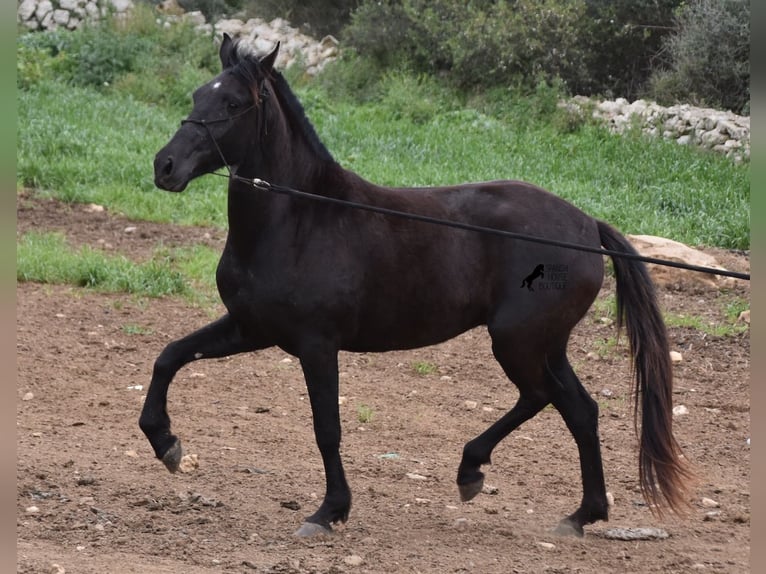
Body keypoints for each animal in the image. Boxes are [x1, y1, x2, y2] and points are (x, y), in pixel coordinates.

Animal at [141, 36, 692, 540]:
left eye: (234, 104)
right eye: (198, 96)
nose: (164, 166)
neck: (299, 219)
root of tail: (586, 226)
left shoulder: (317, 345)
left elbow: (327, 429)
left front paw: (329, 512)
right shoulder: (250, 328)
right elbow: (169, 357)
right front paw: (166, 443)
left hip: (518, 341)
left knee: (544, 397)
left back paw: (478, 473)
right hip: (544, 344)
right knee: (578, 409)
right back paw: (578, 514)